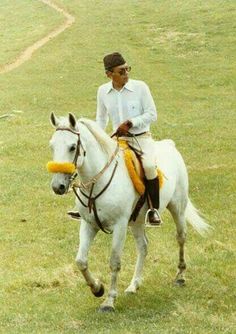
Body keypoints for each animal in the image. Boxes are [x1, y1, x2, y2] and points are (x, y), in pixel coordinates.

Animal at [48, 113, 210, 314]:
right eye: (52, 146)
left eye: (72, 147)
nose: (58, 186)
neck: (98, 182)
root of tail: (170, 145)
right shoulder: (88, 224)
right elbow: (81, 261)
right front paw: (97, 288)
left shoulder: (119, 226)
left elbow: (114, 262)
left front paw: (109, 301)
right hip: (137, 221)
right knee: (143, 246)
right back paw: (134, 285)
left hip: (177, 208)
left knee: (181, 237)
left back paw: (180, 276)